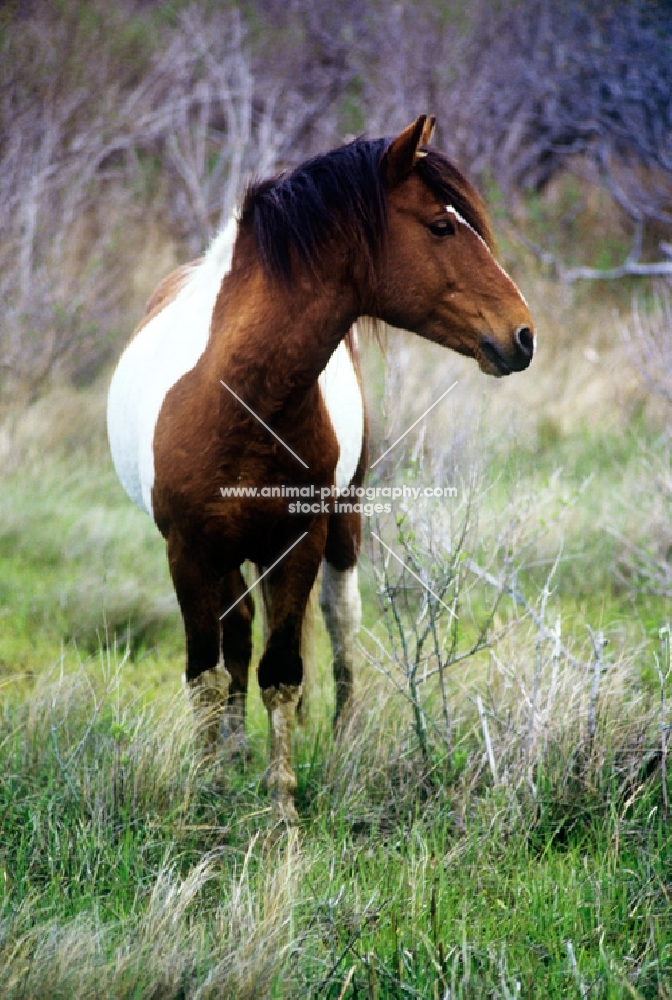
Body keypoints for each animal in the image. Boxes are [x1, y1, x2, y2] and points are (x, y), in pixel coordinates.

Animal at [106, 117, 536, 820]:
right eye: (440, 227)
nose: (523, 336)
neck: (239, 397)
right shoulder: (187, 551)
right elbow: (206, 674)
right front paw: (206, 789)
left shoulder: (298, 543)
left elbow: (282, 675)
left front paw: (281, 806)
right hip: (227, 555)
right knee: (236, 635)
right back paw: (229, 752)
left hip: (342, 524)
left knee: (338, 620)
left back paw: (342, 744)